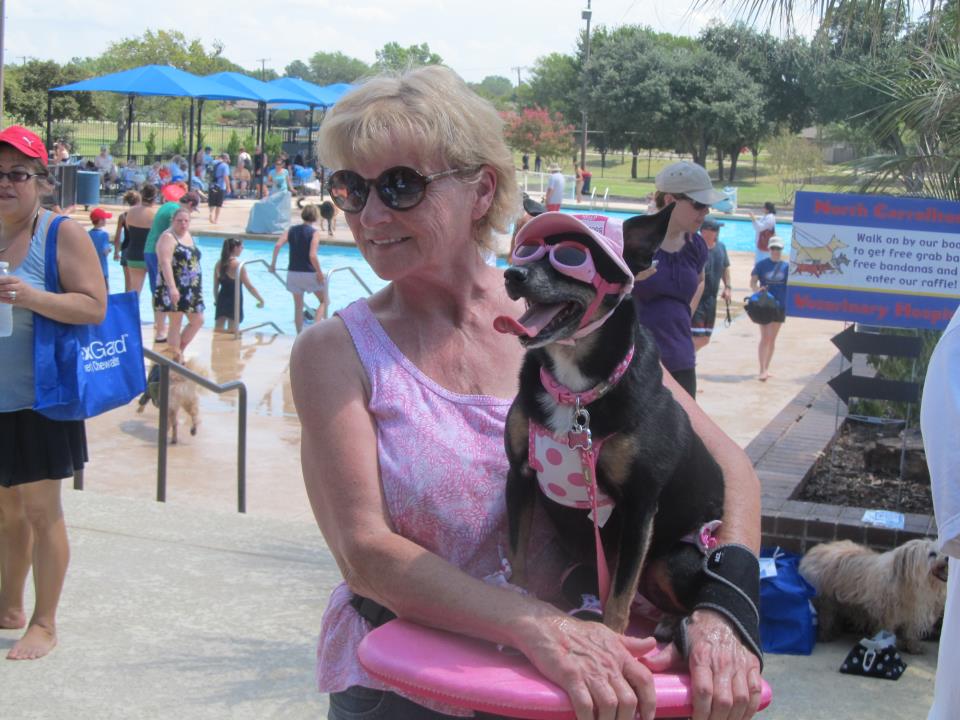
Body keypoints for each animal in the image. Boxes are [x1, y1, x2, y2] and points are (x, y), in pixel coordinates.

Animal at [498, 207, 724, 632]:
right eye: (526, 250)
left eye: (572, 256)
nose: (512, 274)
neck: (575, 392)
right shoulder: (519, 474)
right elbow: (518, 554)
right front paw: (515, 594)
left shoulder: (639, 506)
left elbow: (619, 597)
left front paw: (614, 636)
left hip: (674, 561)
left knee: (687, 601)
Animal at [800, 540, 948, 652]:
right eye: (932, 554)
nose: (947, 557)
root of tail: (814, 551)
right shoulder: (887, 615)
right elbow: (887, 630)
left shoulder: (914, 614)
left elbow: (911, 632)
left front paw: (913, 646)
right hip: (826, 600)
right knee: (826, 617)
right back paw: (825, 634)